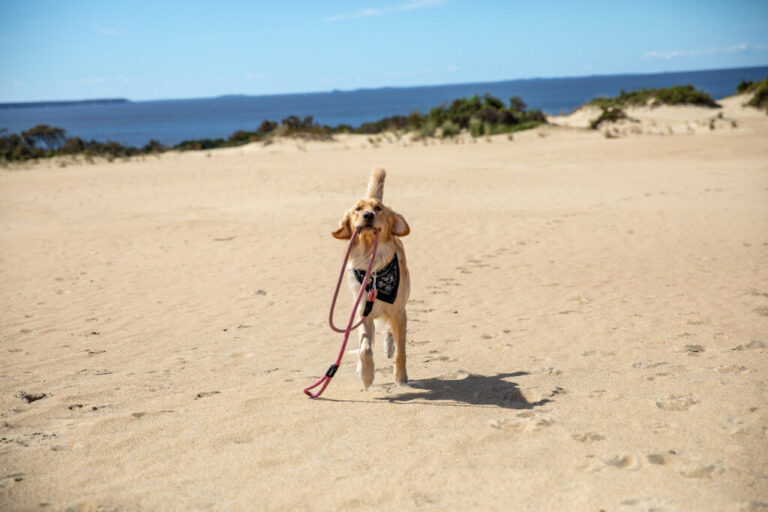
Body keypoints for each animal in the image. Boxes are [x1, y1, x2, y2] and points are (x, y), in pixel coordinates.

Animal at [332, 168, 412, 388]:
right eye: (358, 209)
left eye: (378, 208)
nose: (367, 215)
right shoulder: (363, 313)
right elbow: (365, 348)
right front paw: (367, 375)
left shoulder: (399, 313)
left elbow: (401, 352)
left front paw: (400, 378)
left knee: (391, 334)